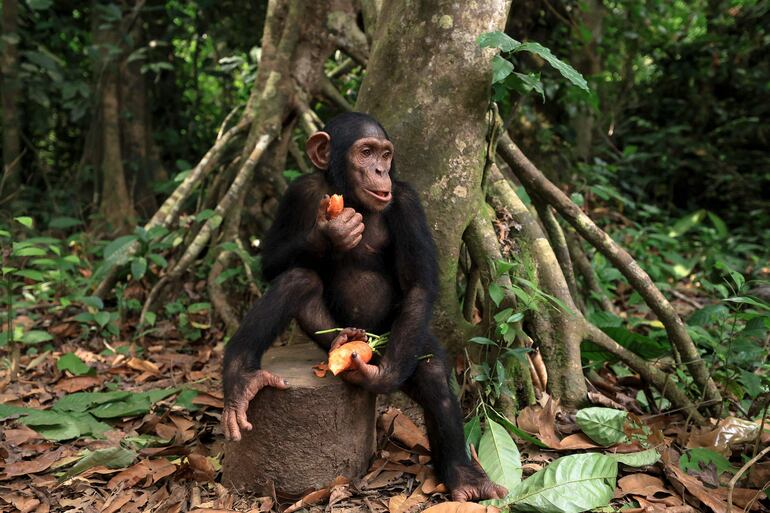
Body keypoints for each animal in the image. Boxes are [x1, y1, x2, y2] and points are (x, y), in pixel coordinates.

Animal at [219, 111, 508, 500]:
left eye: (385, 154)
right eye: (366, 152)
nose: (380, 171)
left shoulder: (407, 201)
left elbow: (418, 284)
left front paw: (380, 377)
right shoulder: (298, 193)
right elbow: (271, 263)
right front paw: (330, 232)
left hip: (399, 340)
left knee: (431, 371)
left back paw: (464, 477)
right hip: (330, 331)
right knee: (297, 280)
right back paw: (246, 377)